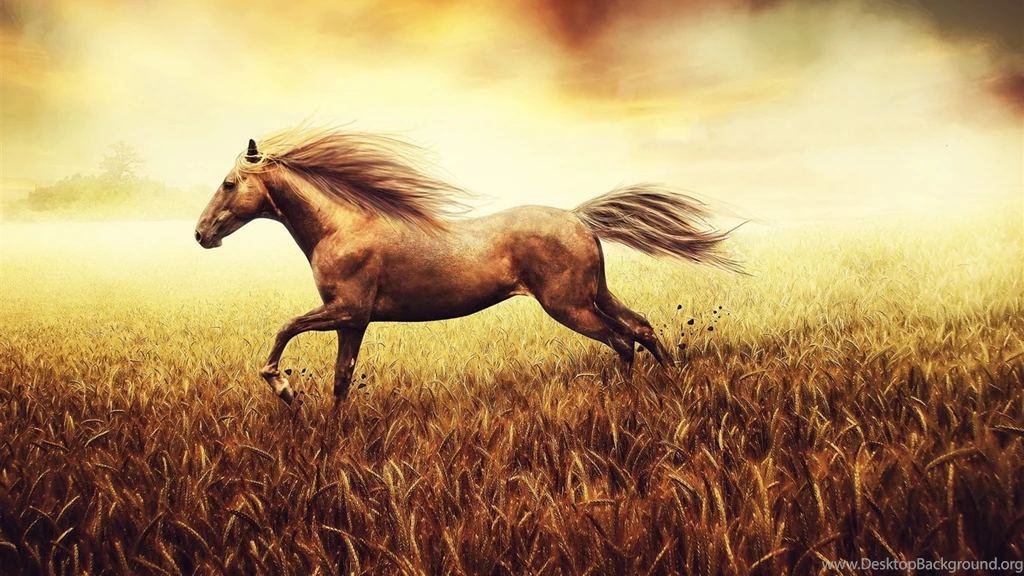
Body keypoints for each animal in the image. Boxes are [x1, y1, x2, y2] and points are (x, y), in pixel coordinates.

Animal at [195, 125, 740, 405]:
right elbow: (341, 381)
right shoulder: (353, 322)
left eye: (228, 183)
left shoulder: (347, 311)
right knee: (642, 328)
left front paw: (284, 388)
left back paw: (629, 402)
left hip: (568, 305)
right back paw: (671, 386)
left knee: (621, 339)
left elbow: (285, 329)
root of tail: (579, 218)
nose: (201, 234)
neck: (341, 227)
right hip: (593, 294)